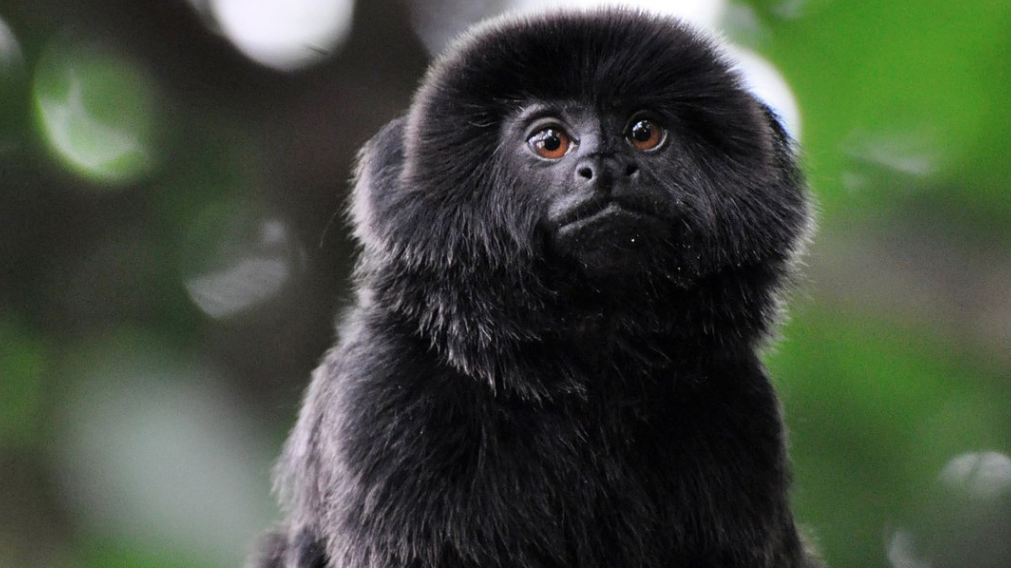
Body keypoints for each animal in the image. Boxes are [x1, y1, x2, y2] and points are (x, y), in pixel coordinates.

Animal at [249, 8, 822, 568]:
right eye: (551, 142)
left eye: (643, 131)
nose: (606, 167)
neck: (586, 377)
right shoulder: (380, 399)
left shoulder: (740, 411)